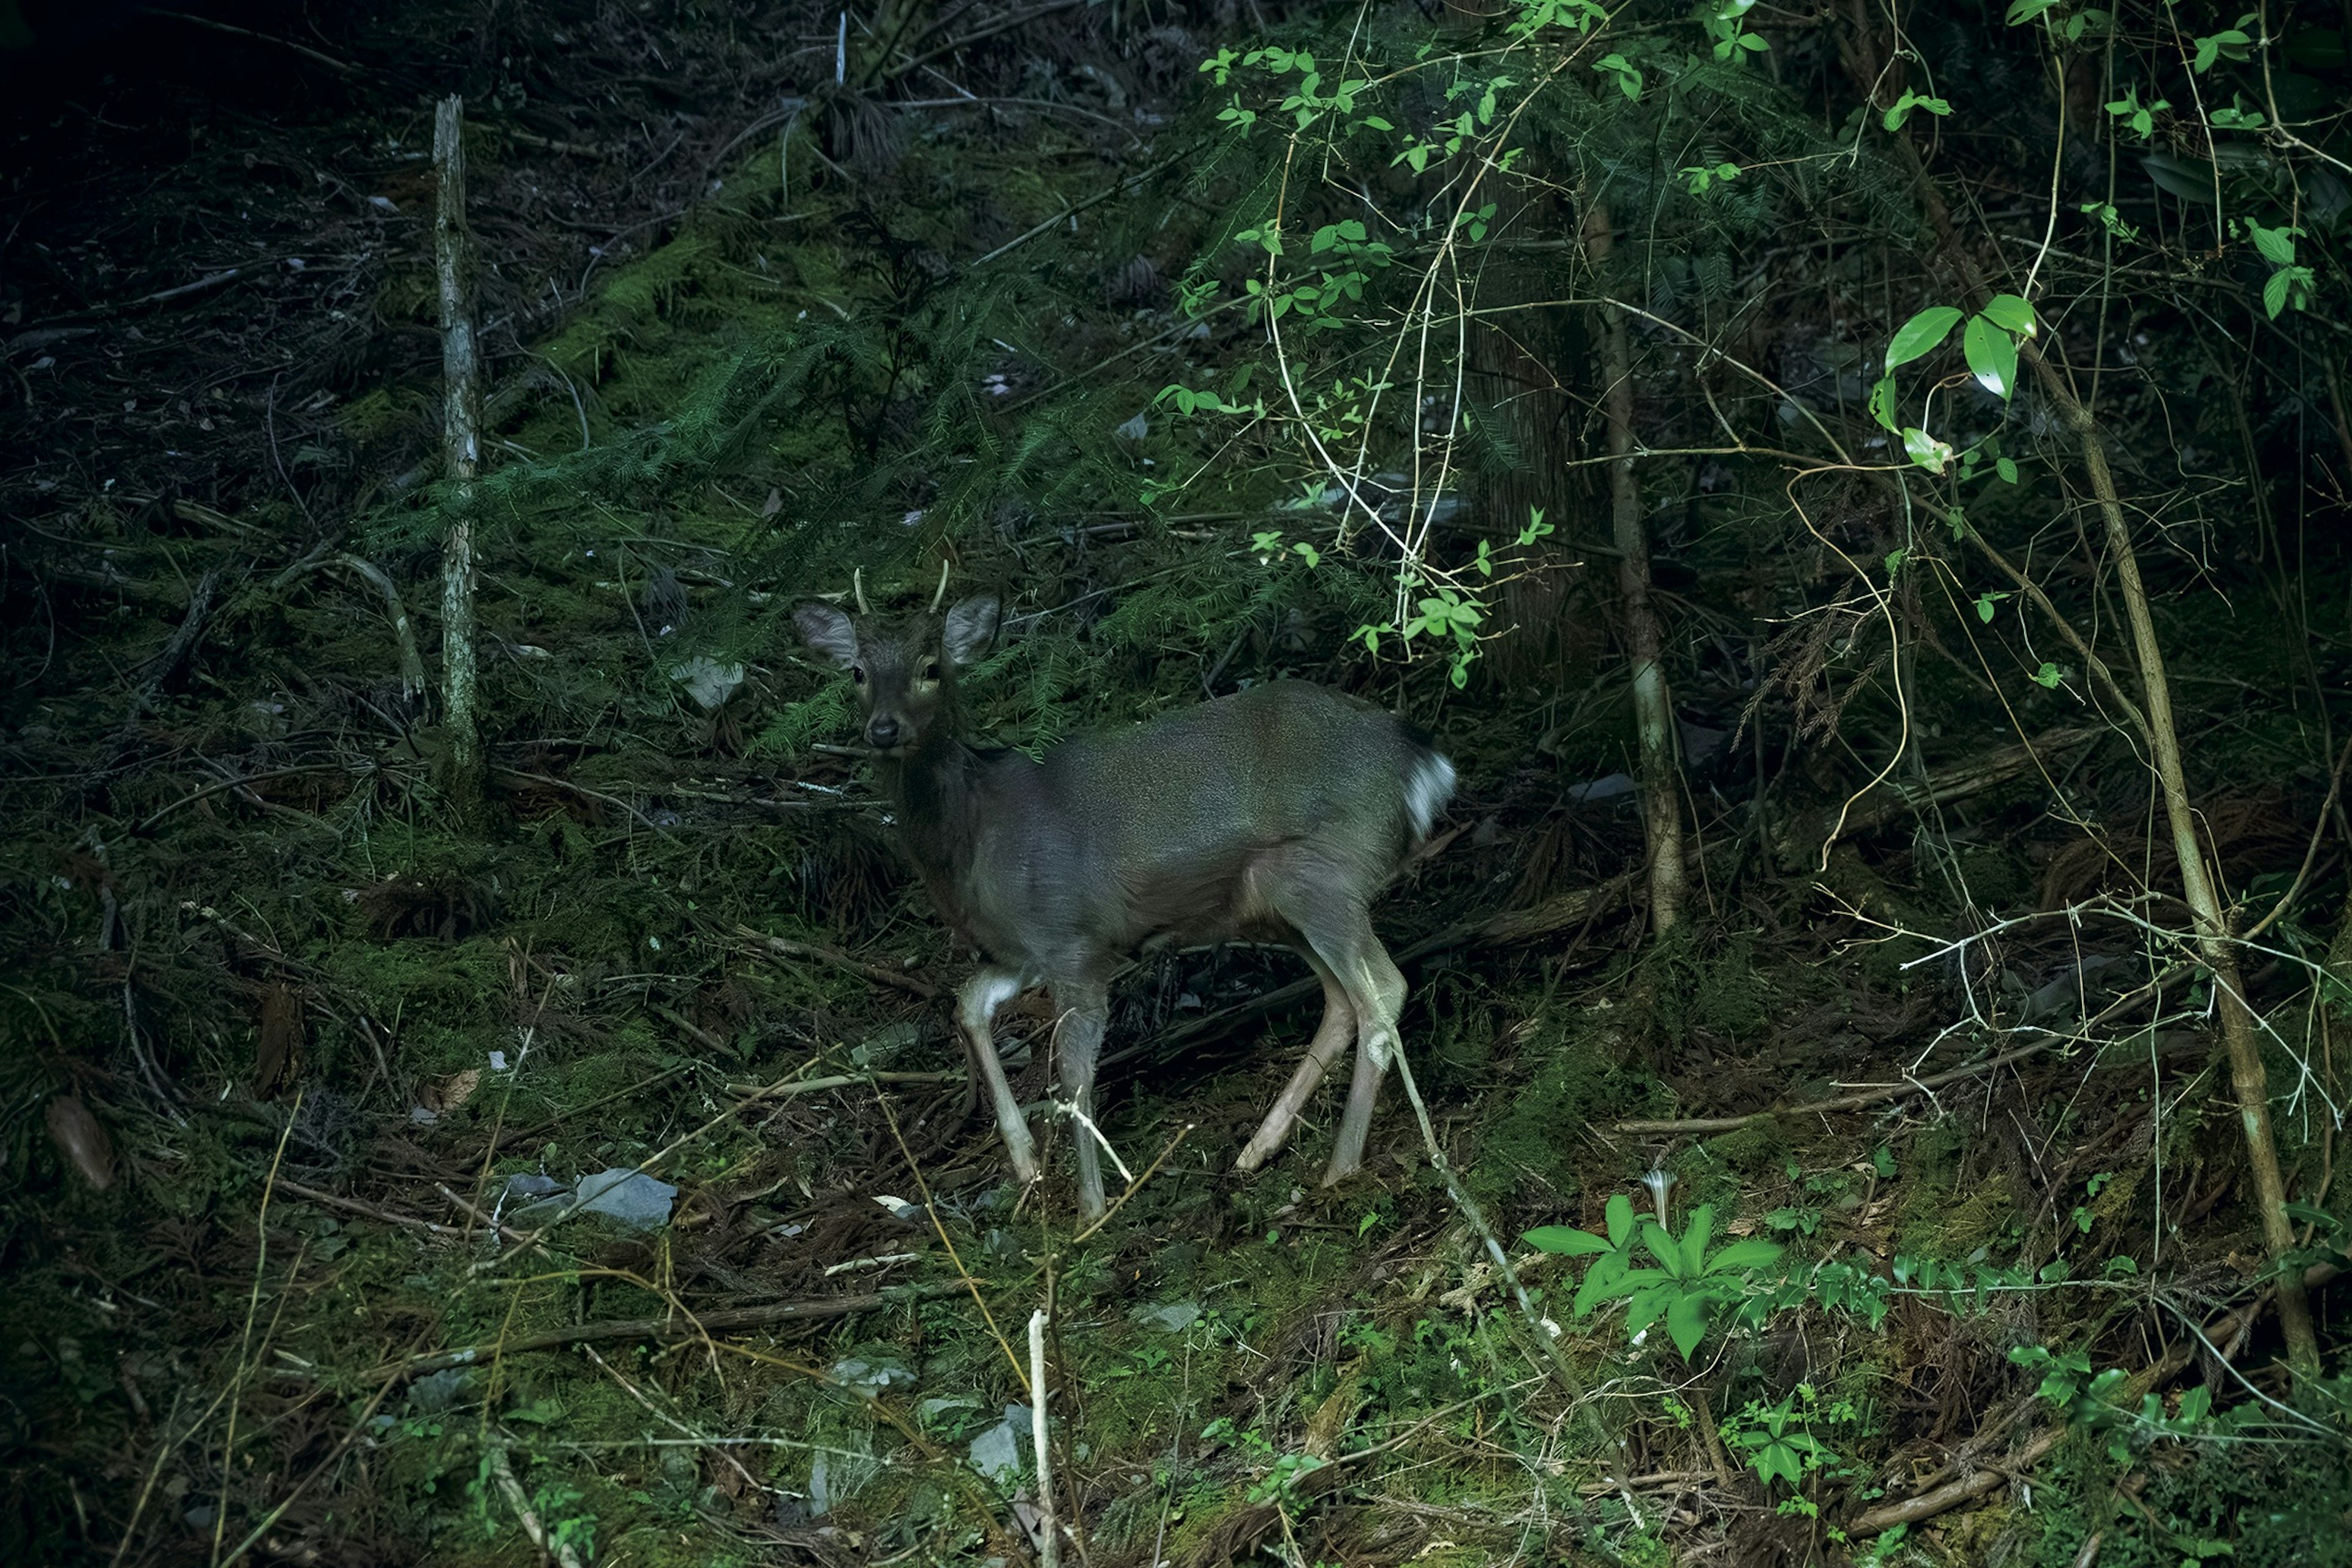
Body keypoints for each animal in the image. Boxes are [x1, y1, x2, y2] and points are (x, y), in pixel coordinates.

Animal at [794, 571, 1449, 1222]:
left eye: (931, 666)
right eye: (857, 672)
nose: (883, 729)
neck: (973, 835)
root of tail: (1427, 760)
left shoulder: (1072, 938)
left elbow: (1074, 1069)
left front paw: (1091, 1208)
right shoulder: (1020, 952)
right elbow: (968, 1004)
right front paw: (1027, 1163)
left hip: (1328, 874)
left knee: (1384, 989)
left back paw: (1341, 1167)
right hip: (1274, 905)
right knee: (1341, 1001)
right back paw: (1257, 1149)